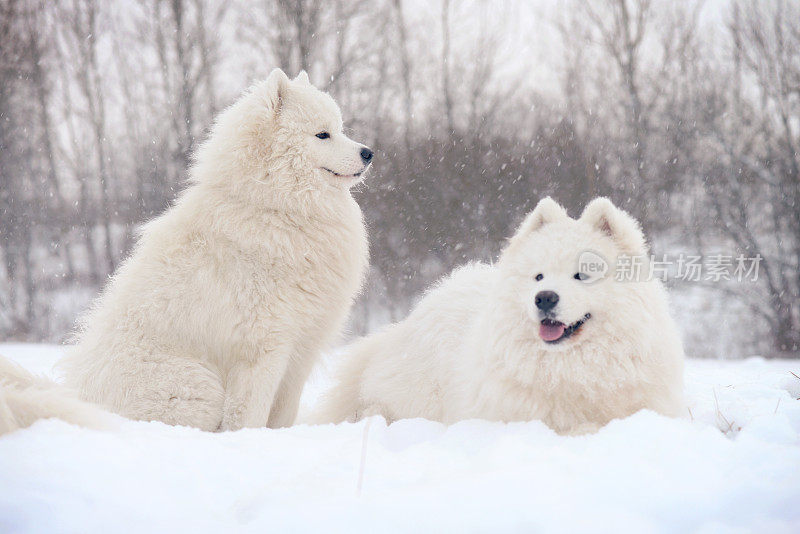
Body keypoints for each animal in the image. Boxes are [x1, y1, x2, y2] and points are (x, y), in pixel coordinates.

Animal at [0, 68, 376, 436]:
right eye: (323, 135)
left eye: (340, 129)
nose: (369, 152)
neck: (275, 206)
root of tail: (78, 394)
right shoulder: (262, 350)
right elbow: (248, 417)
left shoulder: (301, 349)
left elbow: (283, 415)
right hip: (198, 388)